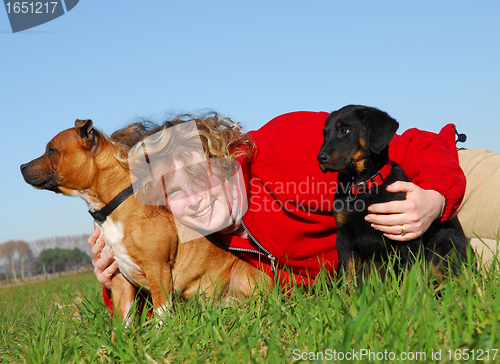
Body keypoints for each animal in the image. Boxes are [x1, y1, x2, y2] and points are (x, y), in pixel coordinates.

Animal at [19, 119, 272, 322]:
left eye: (51, 150)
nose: (21, 166)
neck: (110, 209)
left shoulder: (157, 268)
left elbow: (161, 311)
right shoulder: (119, 279)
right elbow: (122, 322)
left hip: (244, 276)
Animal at [316, 104, 468, 280]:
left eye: (345, 130)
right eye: (324, 134)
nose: (320, 158)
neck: (362, 185)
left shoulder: (406, 235)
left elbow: (411, 274)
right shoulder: (344, 237)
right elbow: (347, 275)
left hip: (444, 248)